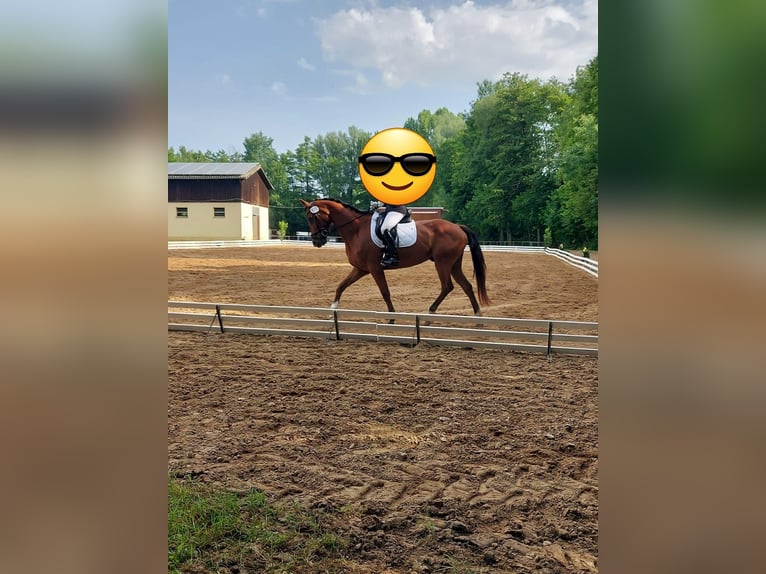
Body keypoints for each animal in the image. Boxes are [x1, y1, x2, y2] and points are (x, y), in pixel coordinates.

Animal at [300, 198, 490, 315]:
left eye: (312, 217)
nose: (317, 241)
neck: (356, 230)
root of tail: (458, 227)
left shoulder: (375, 268)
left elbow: (385, 292)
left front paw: (392, 317)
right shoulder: (361, 269)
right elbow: (341, 286)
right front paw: (332, 309)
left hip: (443, 262)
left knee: (447, 286)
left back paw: (430, 311)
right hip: (454, 264)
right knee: (466, 286)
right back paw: (478, 316)